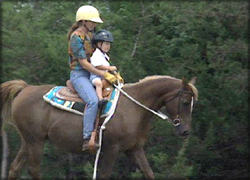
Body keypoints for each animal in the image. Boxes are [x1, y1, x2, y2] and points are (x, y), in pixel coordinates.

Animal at [0, 75, 198, 179]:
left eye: (192, 104)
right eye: (185, 102)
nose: (186, 131)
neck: (133, 106)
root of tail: (25, 88)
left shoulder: (134, 149)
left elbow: (149, 173)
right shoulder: (112, 149)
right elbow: (104, 175)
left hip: (28, 141)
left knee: (15, 168)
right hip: (36, 142)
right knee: (33, 169)